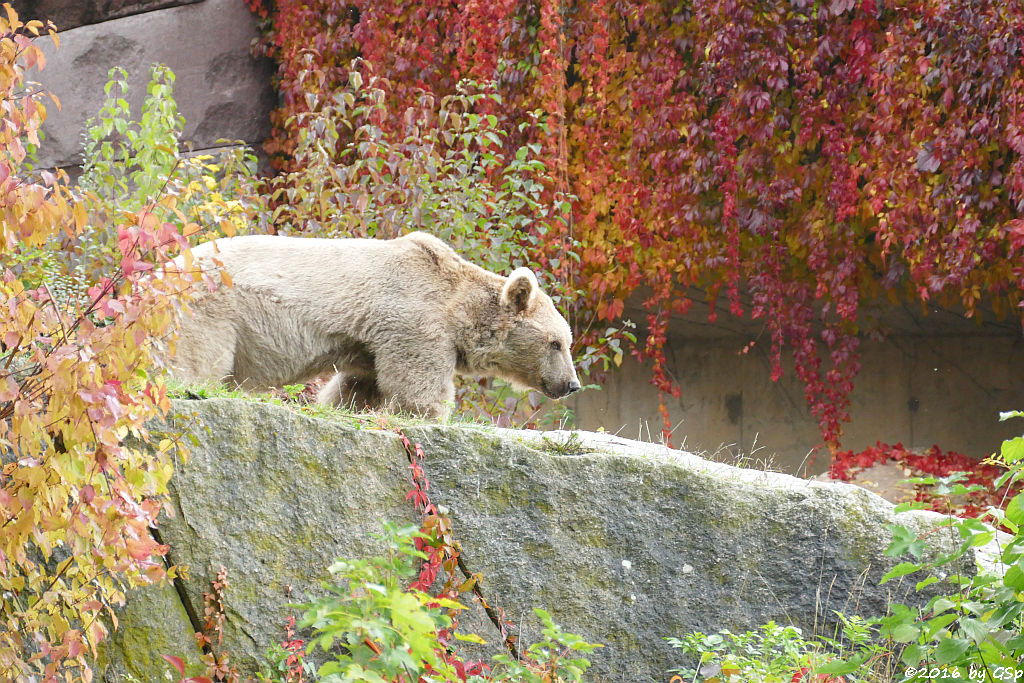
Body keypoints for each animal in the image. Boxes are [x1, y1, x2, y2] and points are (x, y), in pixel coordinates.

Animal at [169, 233, 585, 417]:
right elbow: (416, 390)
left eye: (566, 342)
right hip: (212, 309)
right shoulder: (414, 320)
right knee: (196, 360)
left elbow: (357, 387)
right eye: (556, 343)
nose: (571, 385)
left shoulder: (370, 343)